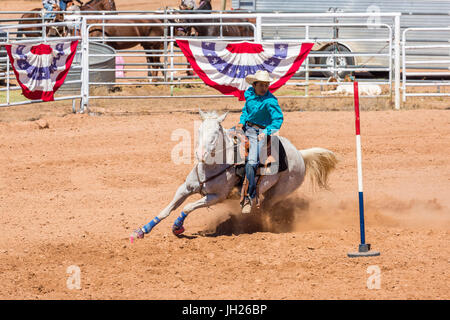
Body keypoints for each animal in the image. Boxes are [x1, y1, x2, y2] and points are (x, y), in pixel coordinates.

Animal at [130, 110, 338, 240]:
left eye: (216, 132)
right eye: (200, 130)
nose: (201, 154)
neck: (213, 165)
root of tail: (300, 155)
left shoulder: (216, 197)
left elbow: (188, 207)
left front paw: (177, 227)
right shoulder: (185, 188)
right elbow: (166, 210)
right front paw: (142, 231)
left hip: (278, 192)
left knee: (264, 209)